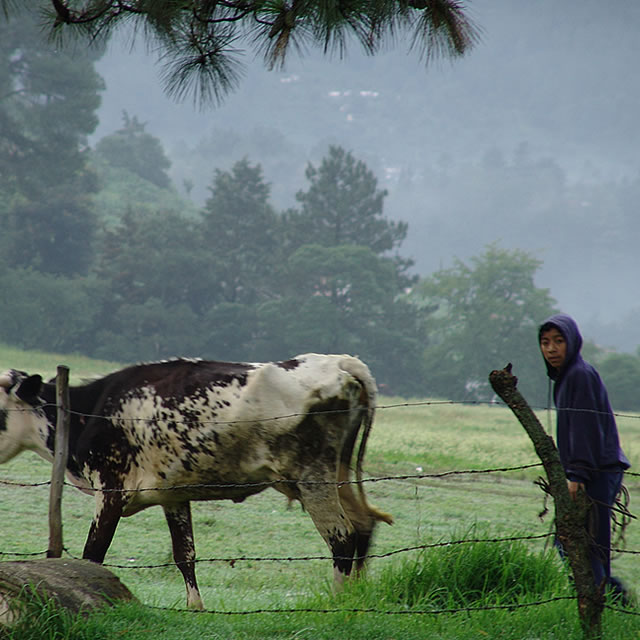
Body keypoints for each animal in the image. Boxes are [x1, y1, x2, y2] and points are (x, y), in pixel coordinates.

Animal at [0, 354, 392, 609]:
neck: (89, 413)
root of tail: (340, 362)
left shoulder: (111, 490)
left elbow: (92, 555)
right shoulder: (173, 495)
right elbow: (184, 555)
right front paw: (195, 607)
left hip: (314, 478)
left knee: (341, 537)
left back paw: (338, 601)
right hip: (338, 473)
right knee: (363, 525)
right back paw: (356, 596)